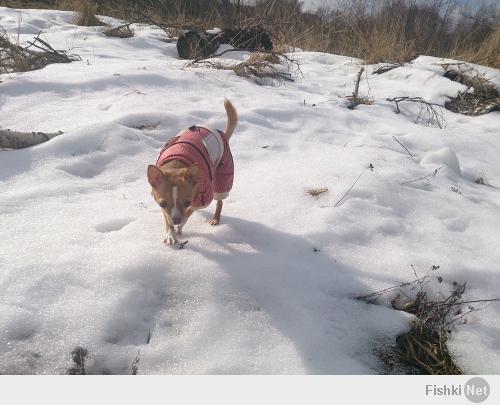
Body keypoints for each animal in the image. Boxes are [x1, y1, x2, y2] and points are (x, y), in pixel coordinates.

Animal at [146, 100, 238, 248]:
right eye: (163, 204)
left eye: (186, 202)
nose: (176, 220)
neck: (177, 162)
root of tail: (223, 135)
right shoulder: (161, 205)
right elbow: (167, 219)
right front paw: (170, 235)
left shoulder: (201, 199)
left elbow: (188, 213)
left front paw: (179, 228)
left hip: (223, 173)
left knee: (220, 201)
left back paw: (215, 218)